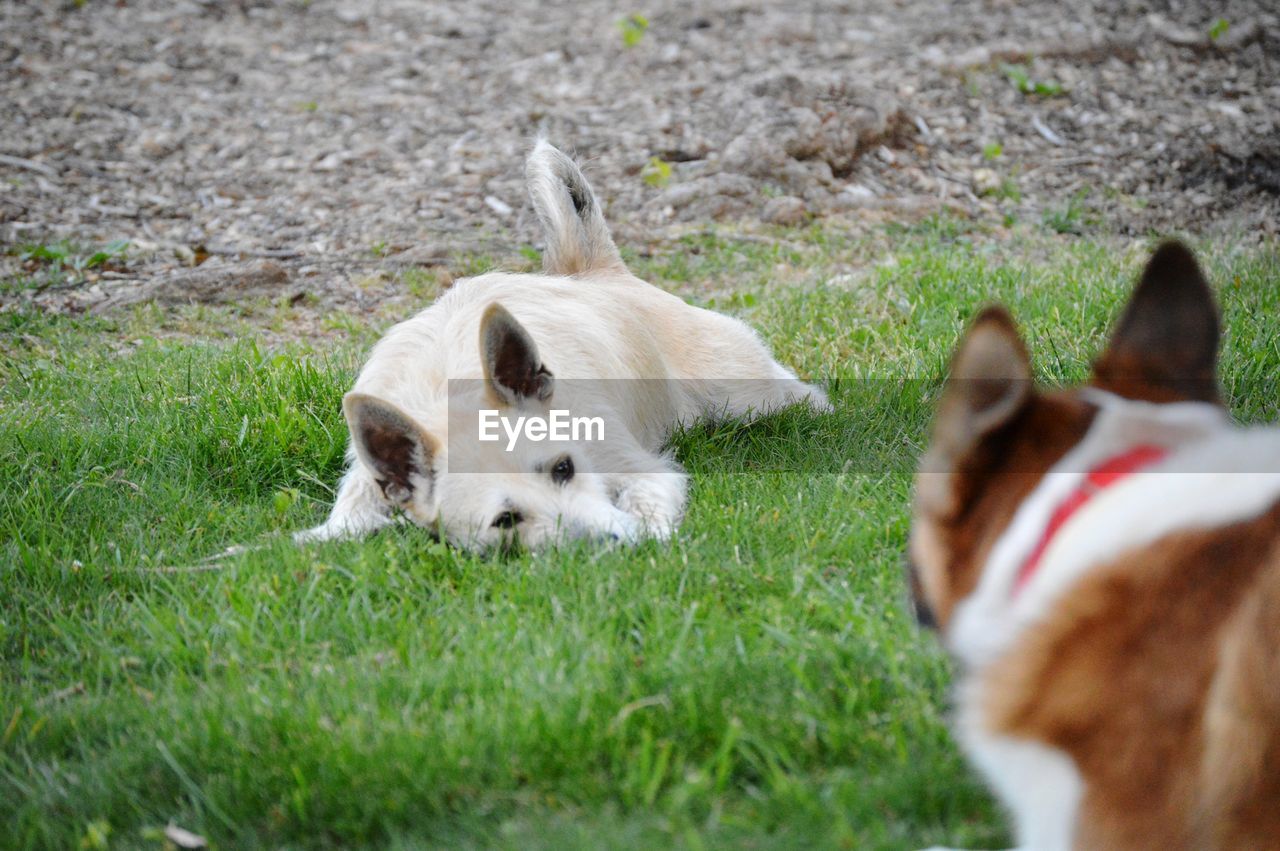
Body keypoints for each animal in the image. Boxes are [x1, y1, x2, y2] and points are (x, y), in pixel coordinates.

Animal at [296, 140, 829, 550]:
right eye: (505, 521)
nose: (611, 544)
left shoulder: (642, 470)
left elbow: (646, 499)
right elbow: (344, 523)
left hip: (747, 394)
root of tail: (593, 274)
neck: (446, 389)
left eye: (563, 468)